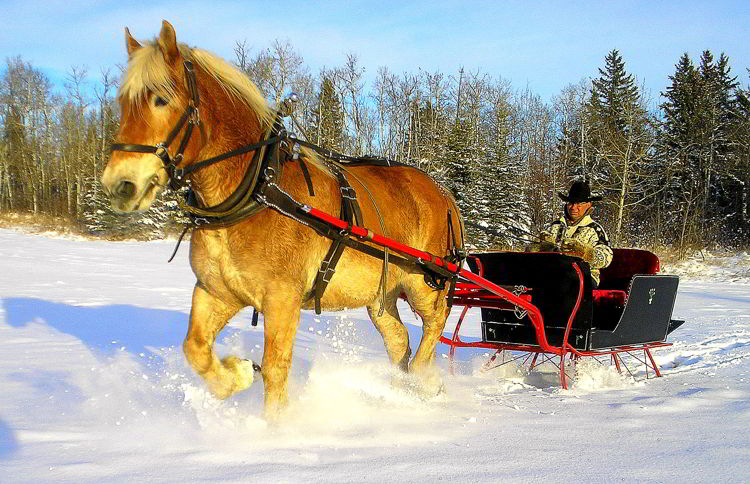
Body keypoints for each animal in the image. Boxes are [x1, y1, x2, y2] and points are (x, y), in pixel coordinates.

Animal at [100, 19, 464, 420]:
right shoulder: (216, 291)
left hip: (424, 282)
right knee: (398, 339)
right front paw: (238, 374)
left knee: (434, 325)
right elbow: (195, 348)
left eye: (160, 99)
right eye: (123, 103)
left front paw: (275, 428)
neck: (256, 192)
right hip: (380, 294)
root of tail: (443, 193)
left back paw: (422, 380)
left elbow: (276, 368)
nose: (119, 184)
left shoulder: (282, 299)